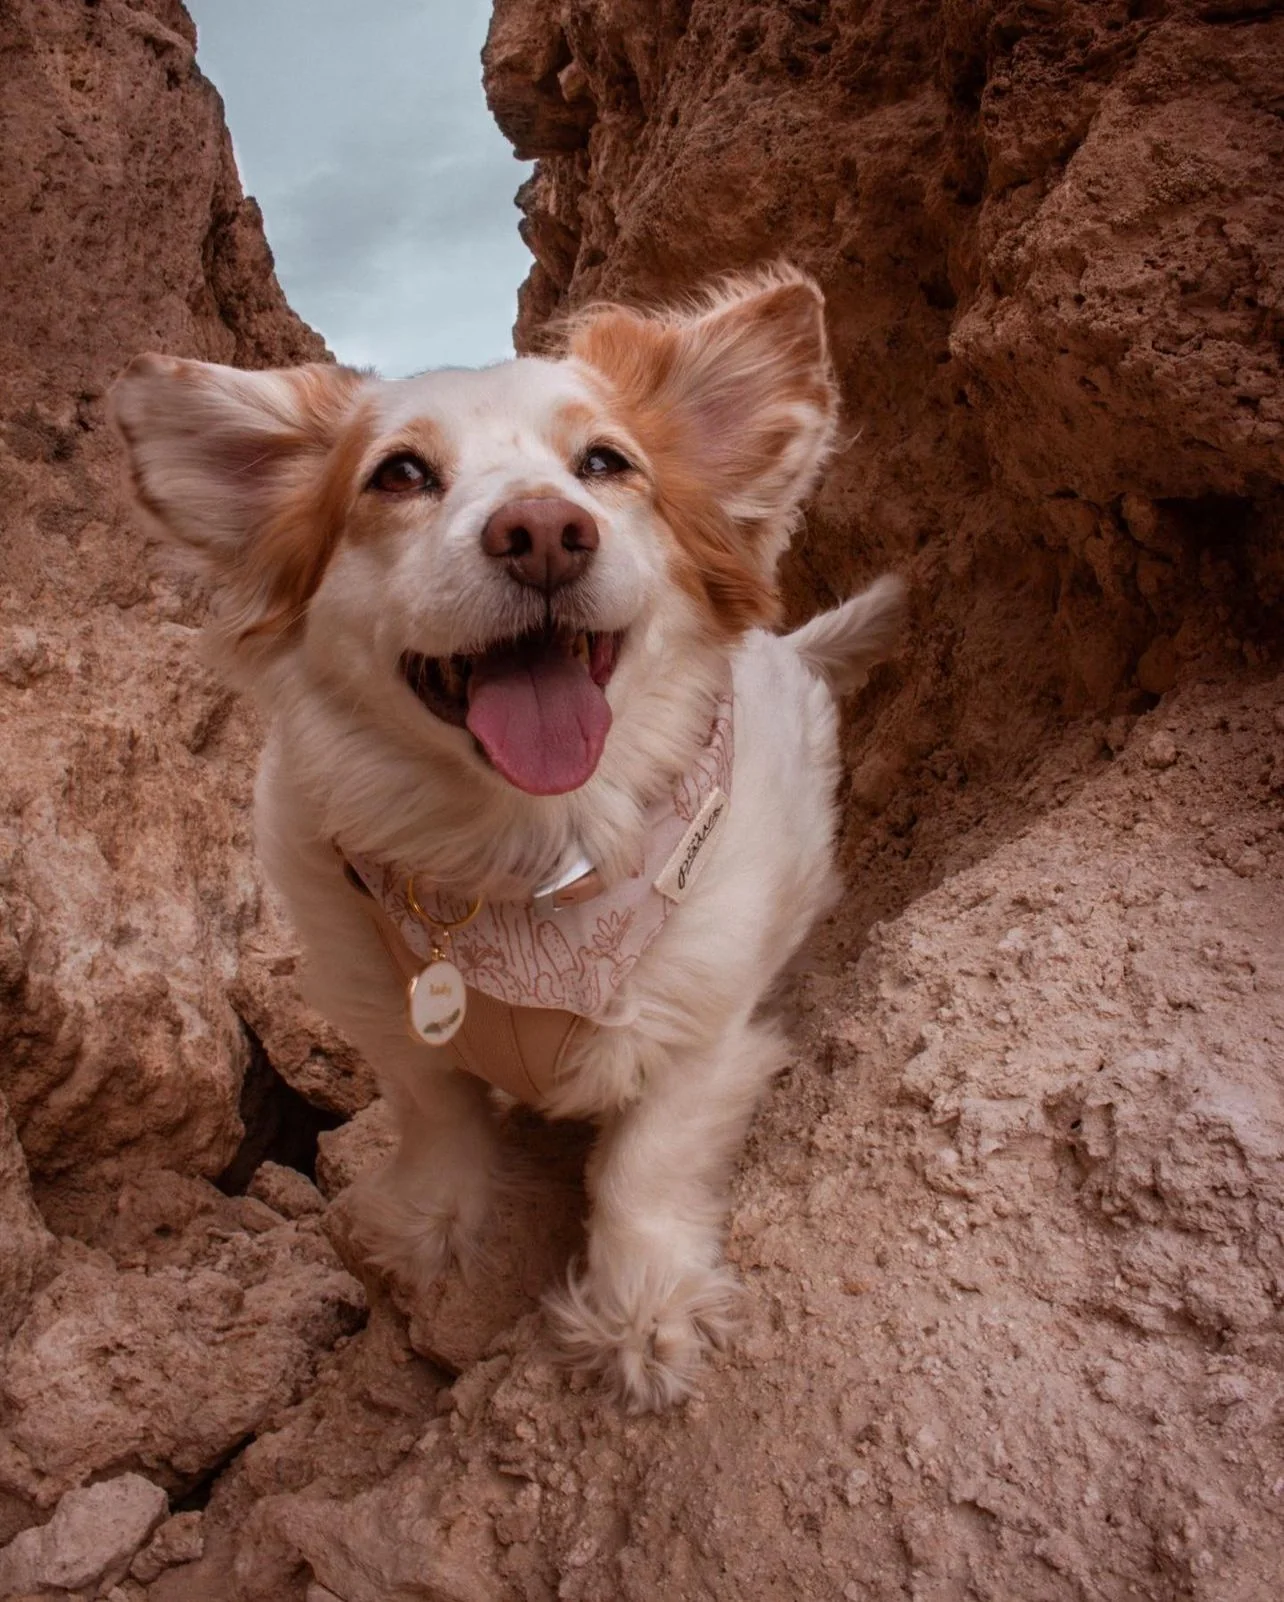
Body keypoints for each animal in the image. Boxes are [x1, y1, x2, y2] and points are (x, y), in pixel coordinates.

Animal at [115, 269, 904, 1409]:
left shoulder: (699, 1034)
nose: (542, 529)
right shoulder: (386, 1015)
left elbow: (645, 1163)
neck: (527, 871)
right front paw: (430, 1226)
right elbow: (436, 1111)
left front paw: (640, 1309)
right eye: (400, 474)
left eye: (605, 464)